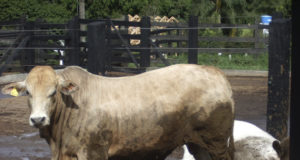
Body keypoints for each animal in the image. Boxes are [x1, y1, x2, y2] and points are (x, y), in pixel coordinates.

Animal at [1, 64, 234, 160]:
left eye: (53, 92)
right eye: (28, 92)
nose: (38, 119)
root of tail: (217, 74)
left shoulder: (93, 152)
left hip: (217, 142)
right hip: (199, 143)